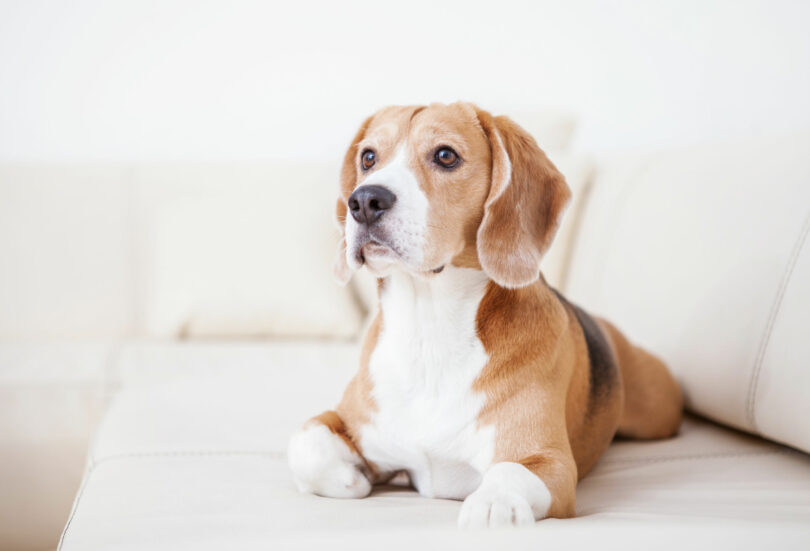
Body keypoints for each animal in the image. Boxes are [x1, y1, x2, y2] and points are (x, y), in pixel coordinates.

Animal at [288, 101, 680, 528]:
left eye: (446, 155)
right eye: (368, 158)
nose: (363, 202)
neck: (429, 328)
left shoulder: (548, 461)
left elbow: (508, 473)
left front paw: (494, 503)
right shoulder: (345, 418)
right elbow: (307, 443)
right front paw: (351, 476)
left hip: (660, 411)